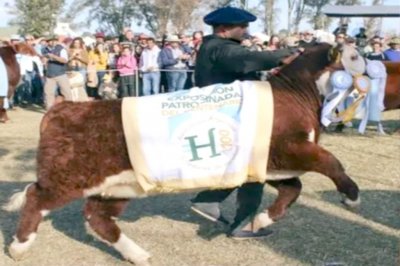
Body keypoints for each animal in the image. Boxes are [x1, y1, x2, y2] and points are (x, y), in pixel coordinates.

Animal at [2, 43, 360, 264]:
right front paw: (351, 196)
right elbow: (331, 162)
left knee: (97, 217)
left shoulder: (269, 162)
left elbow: (294, 188)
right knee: (36, 197)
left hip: (119, 184)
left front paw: (260, 220)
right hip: (69, 176)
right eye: (355, 58)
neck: (295, 94)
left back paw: (138, 254)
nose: (369, 72)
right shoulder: (292, 148)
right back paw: (19, 247)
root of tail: (64, 108)